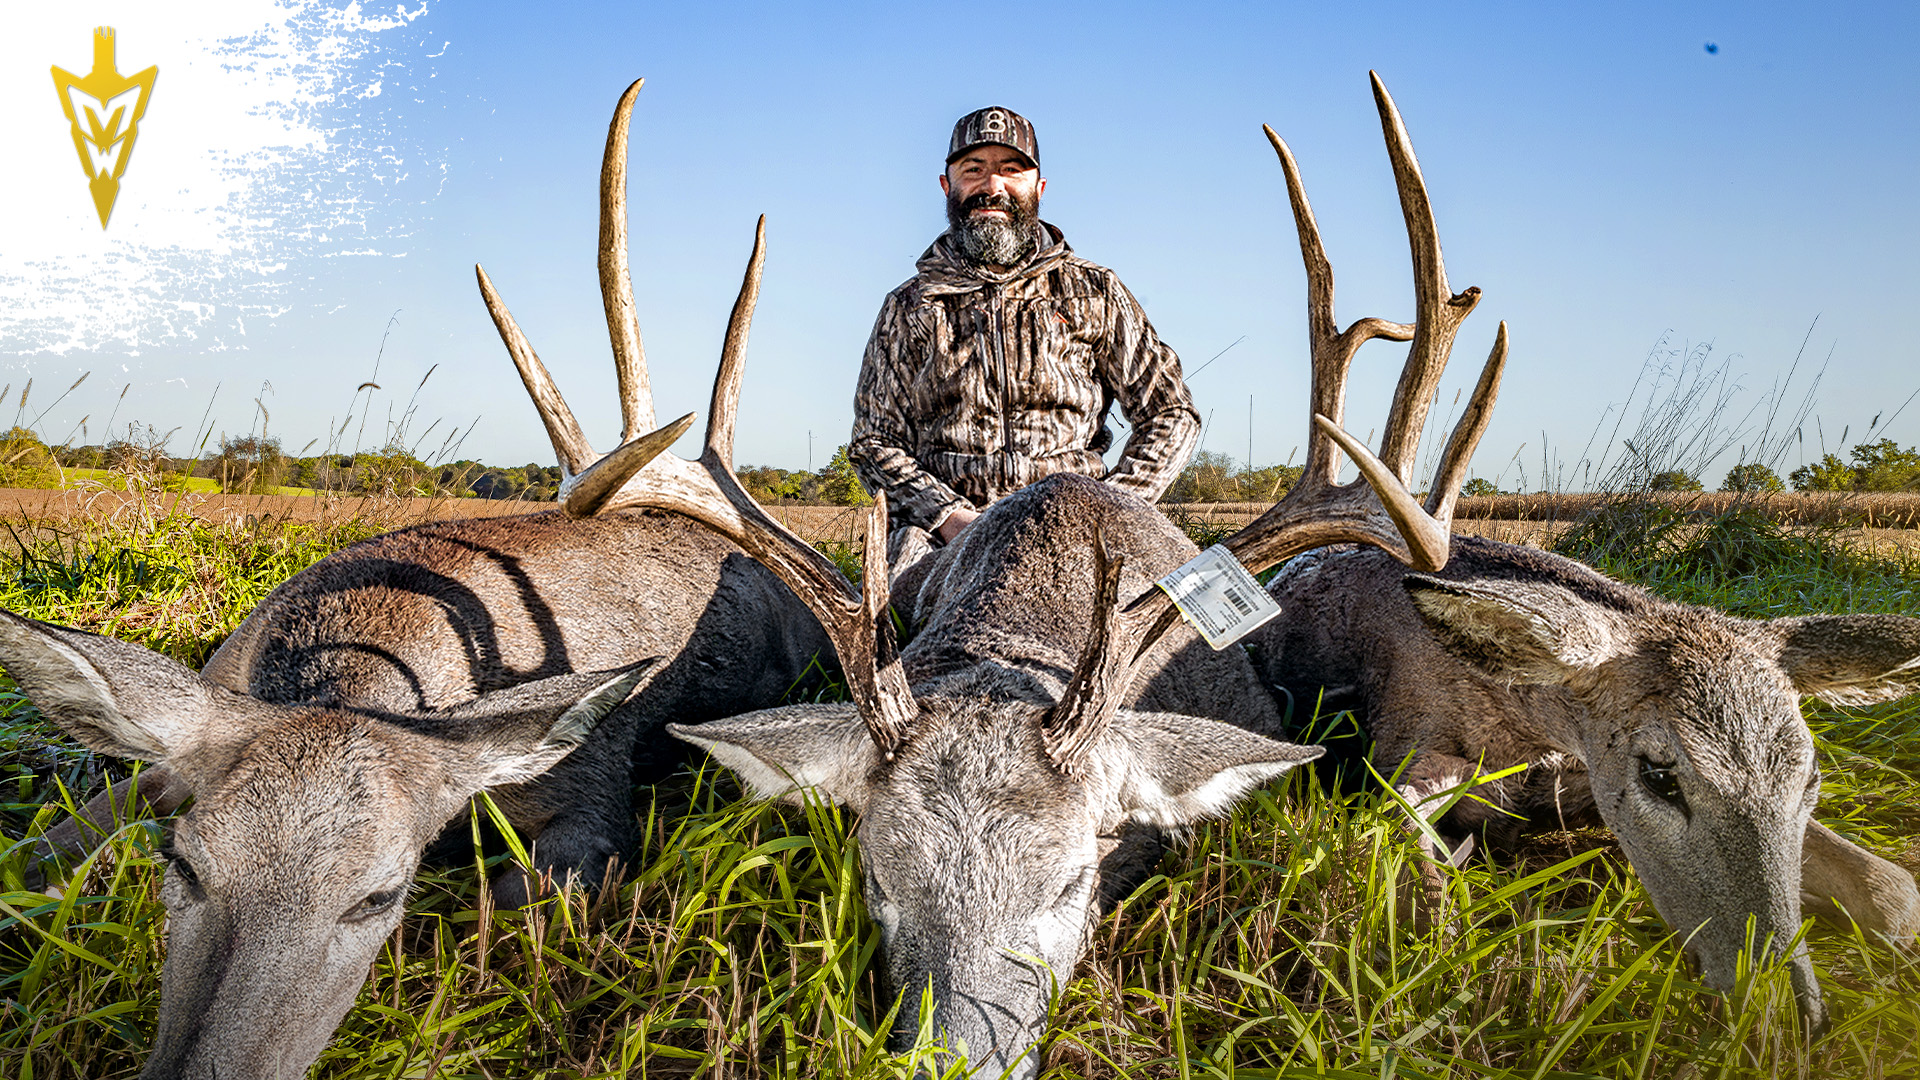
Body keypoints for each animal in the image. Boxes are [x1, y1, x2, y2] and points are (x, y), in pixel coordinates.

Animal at [1248, 533, 1920, 1036]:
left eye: (1811, 776)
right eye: (1659, 775)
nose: (1786, 1011)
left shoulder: (1582, 775)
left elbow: (1896, 889)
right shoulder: (1404, 749)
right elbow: (1427, 909)